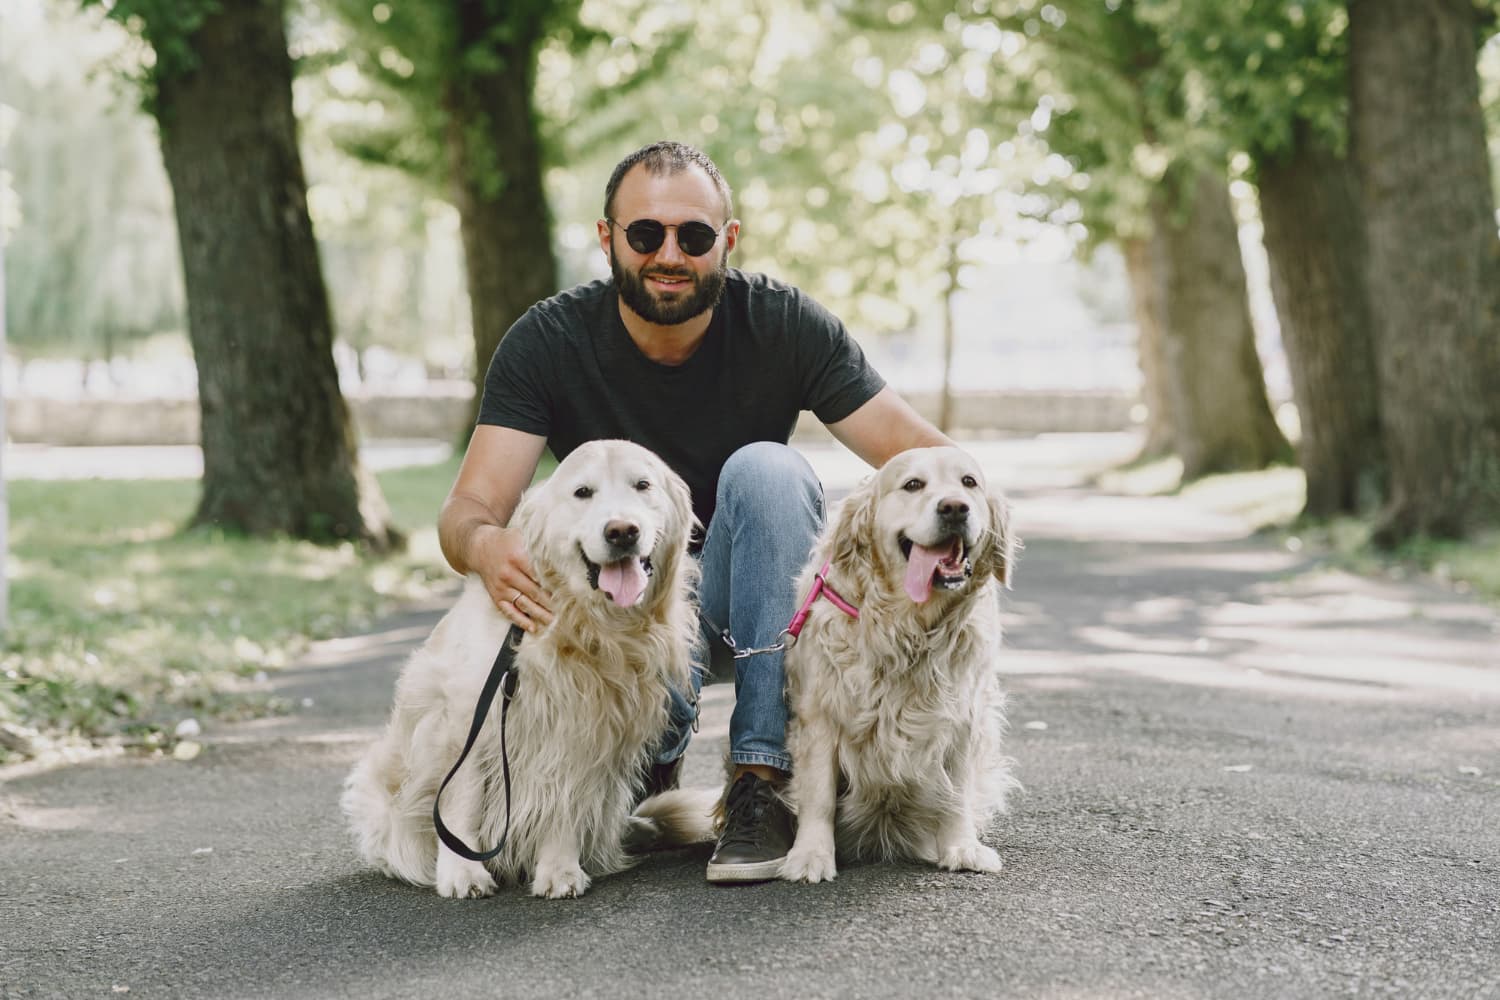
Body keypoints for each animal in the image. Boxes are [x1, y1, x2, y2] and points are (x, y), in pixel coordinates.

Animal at [345, 437, 702, 899]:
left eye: (643, 485)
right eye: (582, 492)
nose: (622, 531)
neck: (582, 627)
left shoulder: (582, 729)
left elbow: (565, 803)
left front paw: (559, 868)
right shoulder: (465, 721)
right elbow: (460, 803)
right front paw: (463, 871)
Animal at [774, 446, 1020, 881]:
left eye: (969, 482)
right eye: (913, 485)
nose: (954, 507)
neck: (910, 626)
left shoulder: (964, 717)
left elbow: (958, 790)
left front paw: (961, 846)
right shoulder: (819, 713)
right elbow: (818, 794)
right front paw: (811, 855)